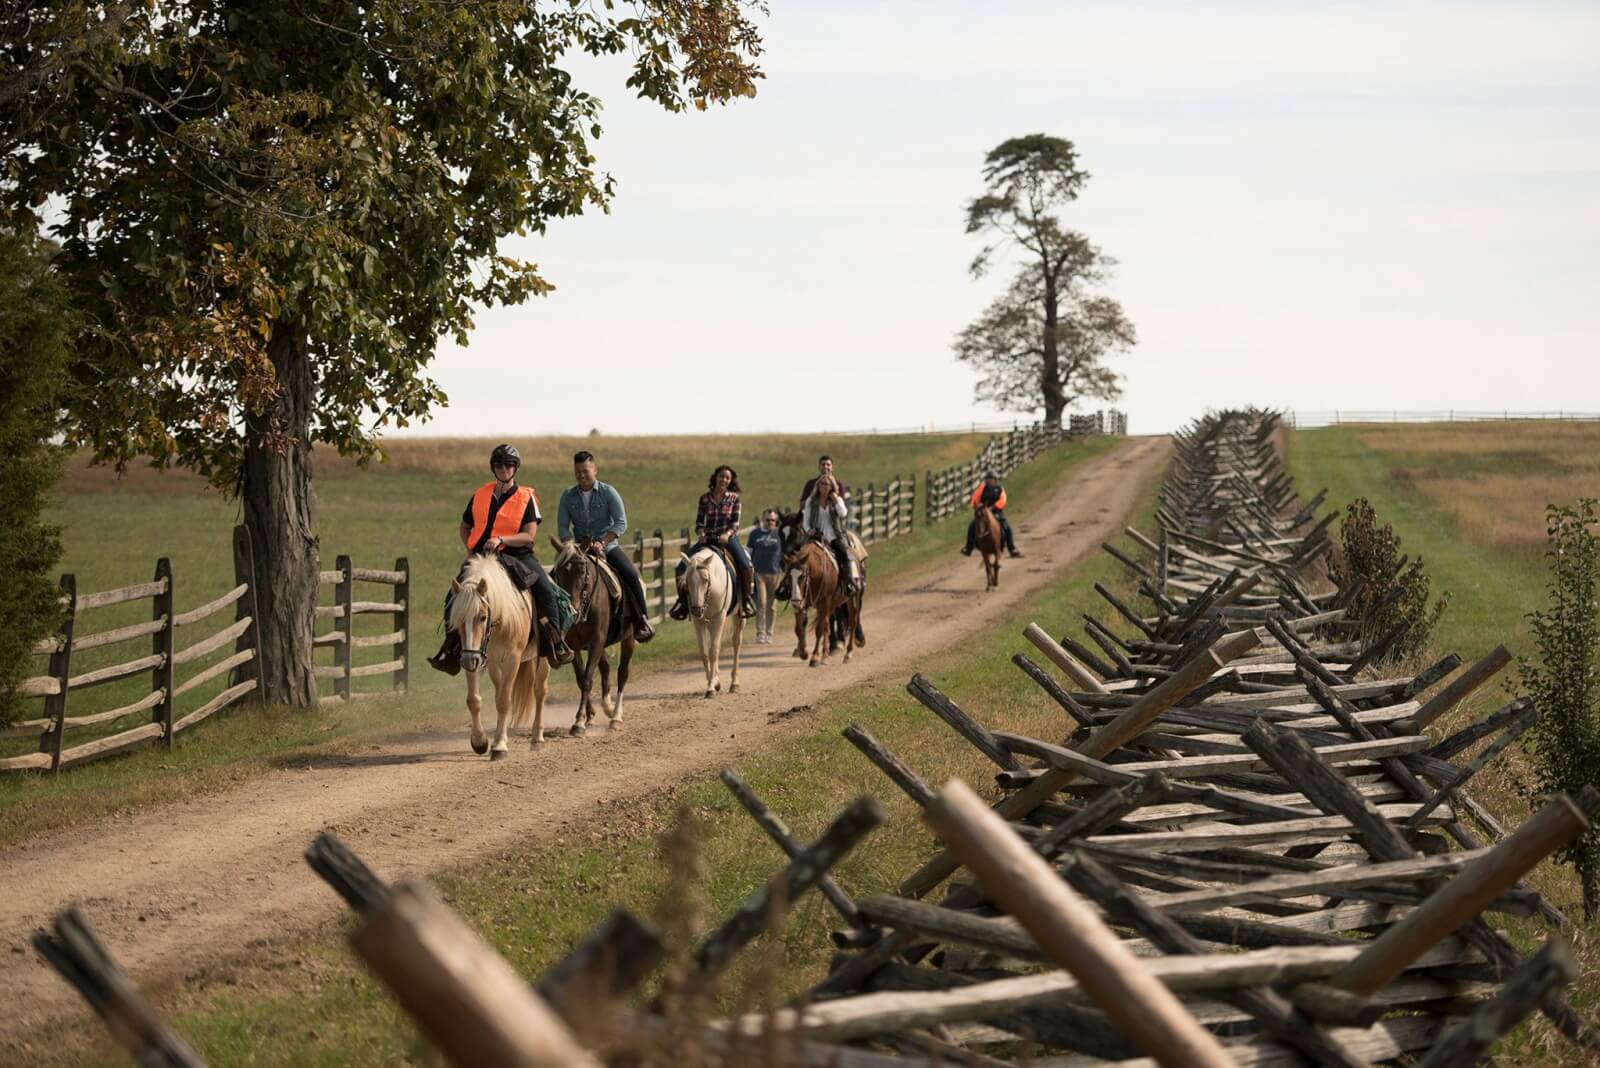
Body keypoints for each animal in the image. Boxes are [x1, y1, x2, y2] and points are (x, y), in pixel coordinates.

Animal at [448, 556, 553, 754]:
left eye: (482, 617)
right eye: (458, 620)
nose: (468, 660)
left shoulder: (512, 659)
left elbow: (504, 701)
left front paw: (499, 746)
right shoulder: (481, 659)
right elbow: (474, 700)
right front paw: (480, 742)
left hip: (541, 659)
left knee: (539, 691)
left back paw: (537, 737)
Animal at [544, 537, 630, 738]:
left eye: (582, 571)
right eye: (559, 572)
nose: (572, 609)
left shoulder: (597, 641)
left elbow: (587, 679)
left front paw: (579, 723)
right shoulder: (574, 646)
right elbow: (580, 678)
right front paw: (587, 716)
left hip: (628, 638)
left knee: (622, 672)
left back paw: (616, 717)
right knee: (605, 667)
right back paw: (607, 707)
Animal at [681, 543, 742, 700]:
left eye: (705, 580)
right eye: (687, 581)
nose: (696, 610)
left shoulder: (719, 618)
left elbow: (714, 651)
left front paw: (710, 689)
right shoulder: (699, 622)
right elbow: (704, 652)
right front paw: (713, 682)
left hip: (738, 616)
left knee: (736, 642)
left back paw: (734, 683)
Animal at [777, 511, 857, 668]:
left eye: (795, 533)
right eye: (789, 577)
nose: (784, 559)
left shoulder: (824, 602)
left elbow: (819, 629)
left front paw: (814, 657)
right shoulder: (802, 602)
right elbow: (799, 627)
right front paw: (803, 651)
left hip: (850, 599)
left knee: (851, 621)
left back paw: (848, 653)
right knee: (828, 622)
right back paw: (826, 652)